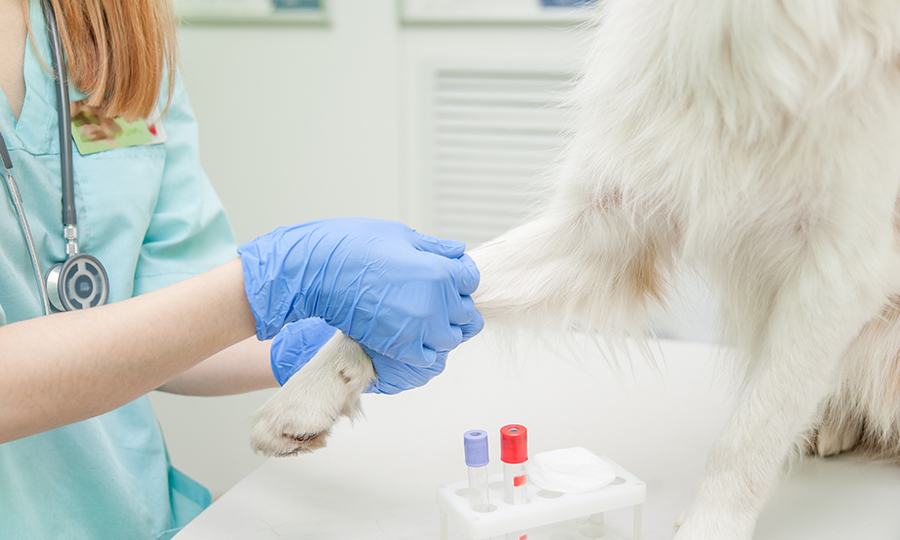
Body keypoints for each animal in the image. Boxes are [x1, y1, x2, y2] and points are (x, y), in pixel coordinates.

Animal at [250, 2, 900, 536]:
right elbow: (425, 290)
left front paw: (711, 523)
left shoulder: (840, 270)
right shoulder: (609, 221)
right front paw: (301, 400)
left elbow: (753, 429)